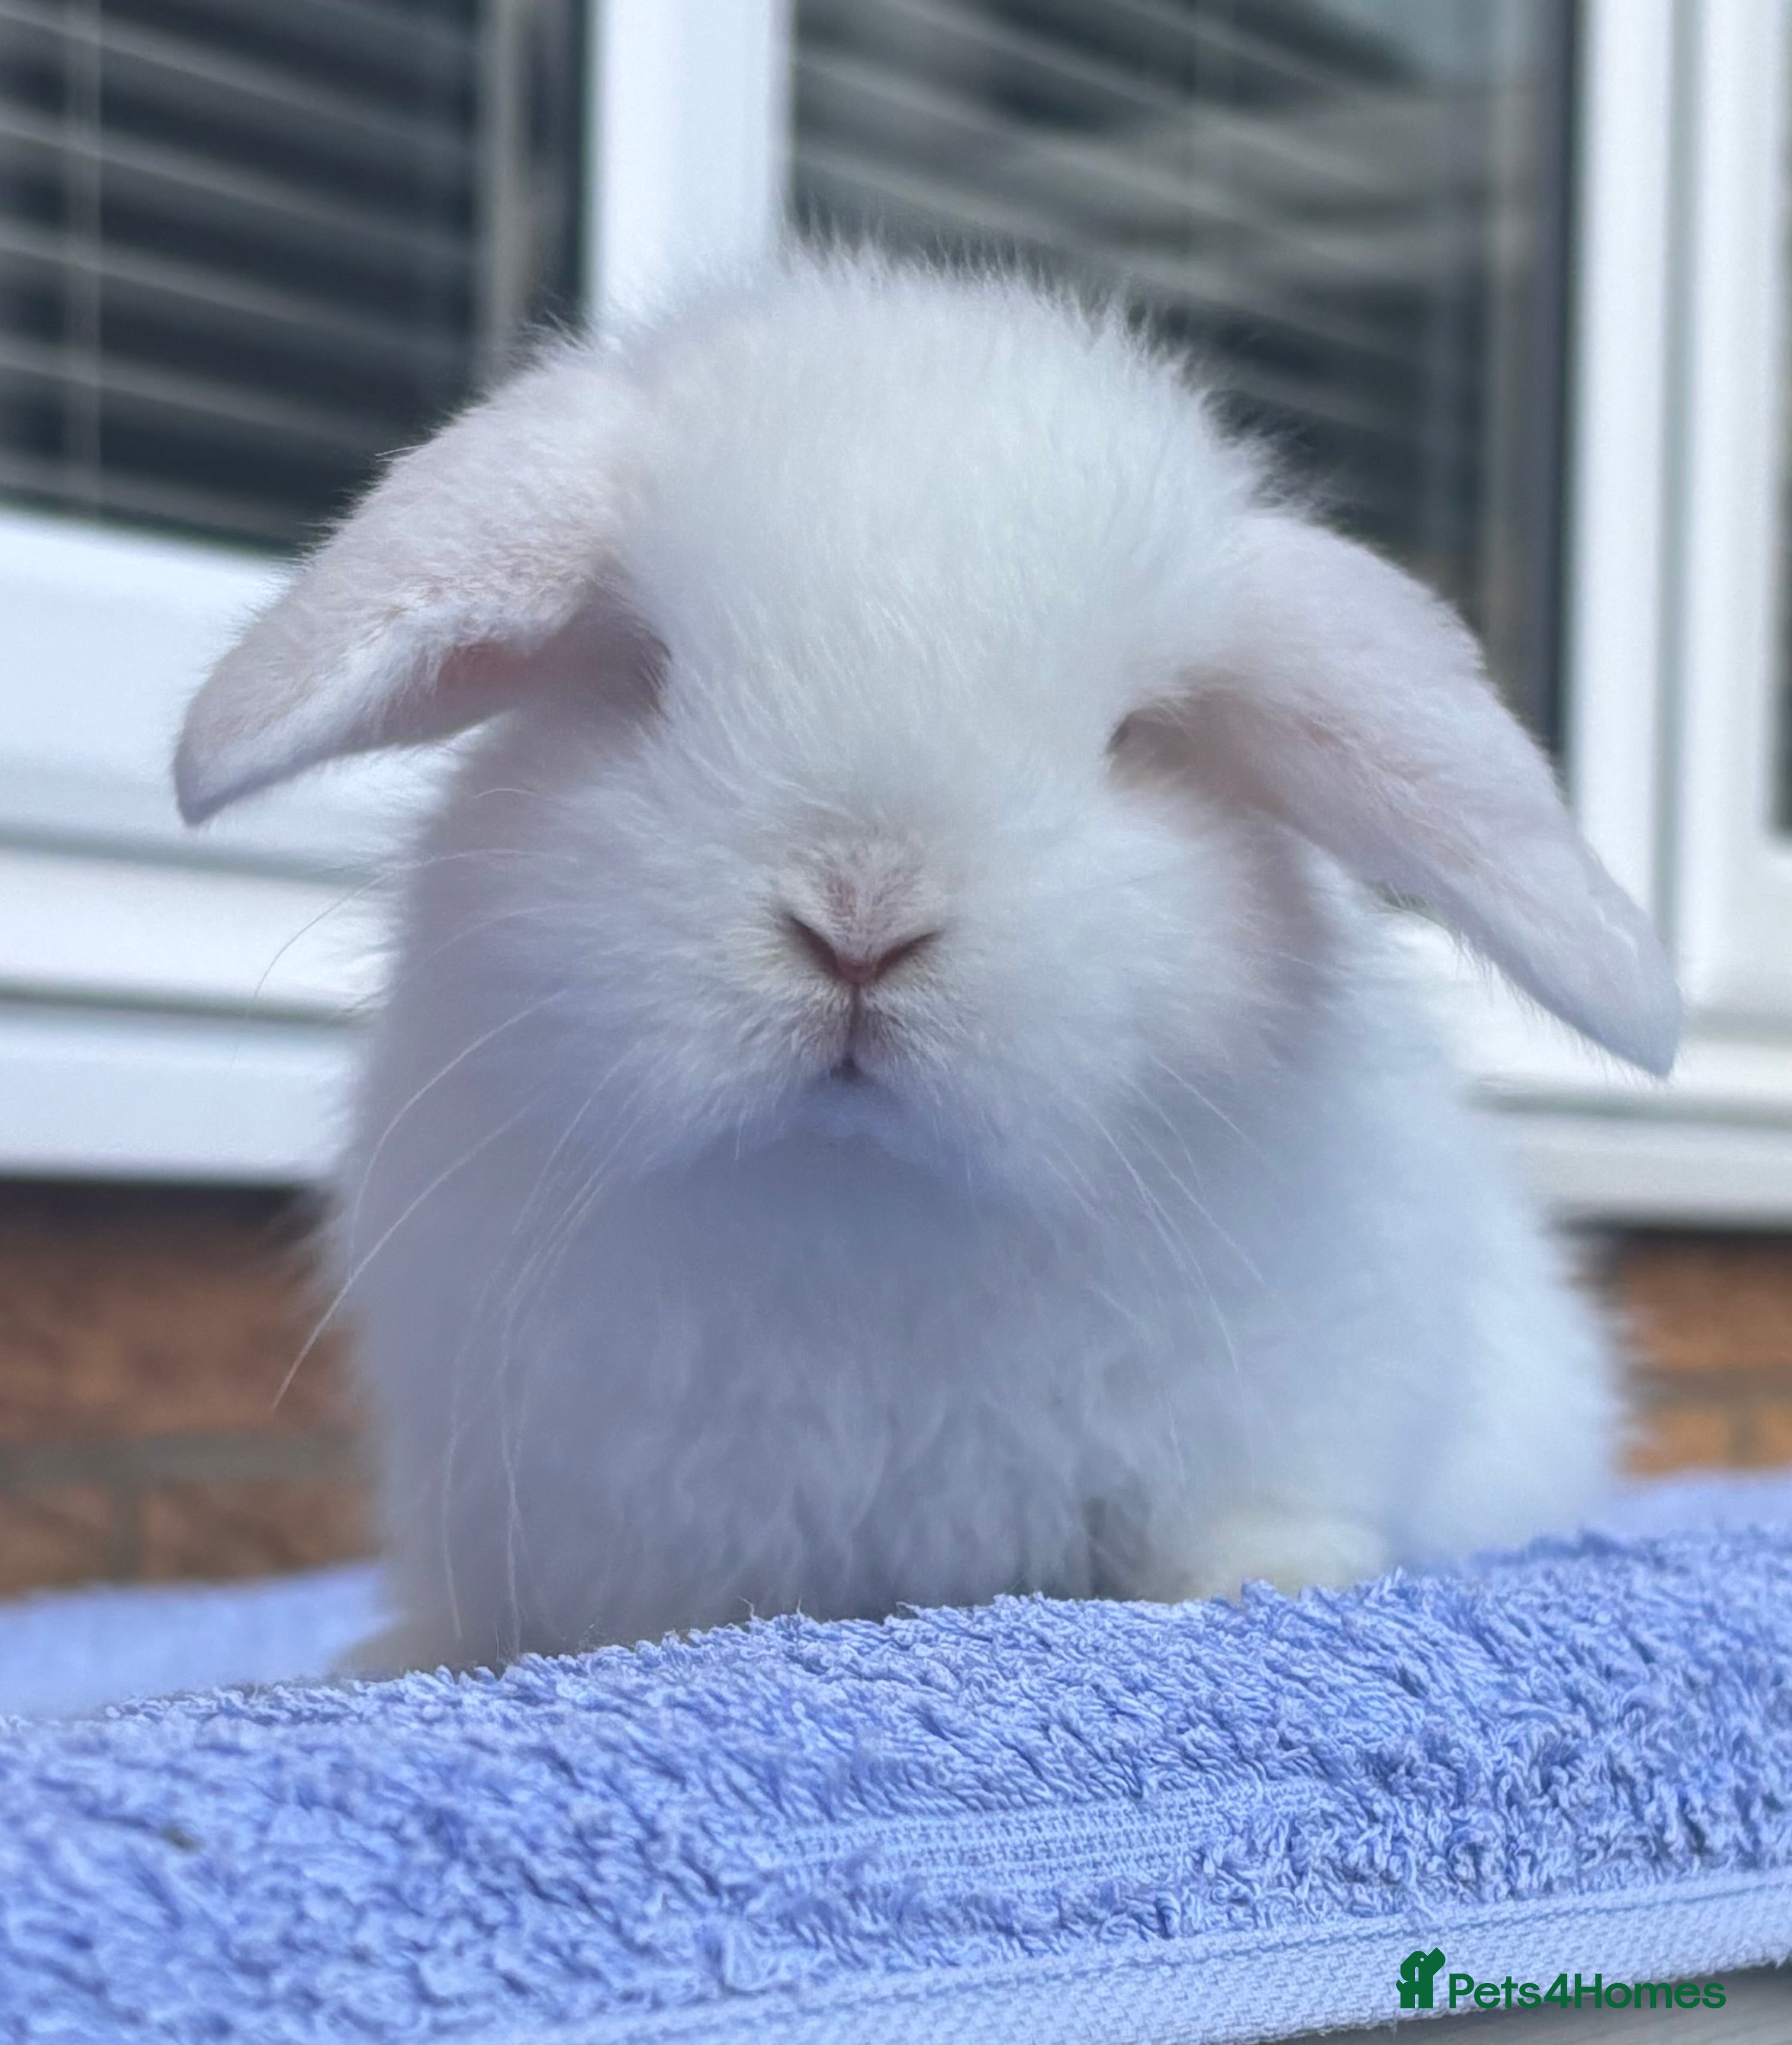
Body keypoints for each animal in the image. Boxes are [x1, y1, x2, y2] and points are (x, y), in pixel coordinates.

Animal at [174, 253, 1679, 1674]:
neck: (862, 1206)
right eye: (645, 673)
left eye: (1133, 738)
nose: (861, 919)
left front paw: (1274, 1585)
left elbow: (1255, 1521)